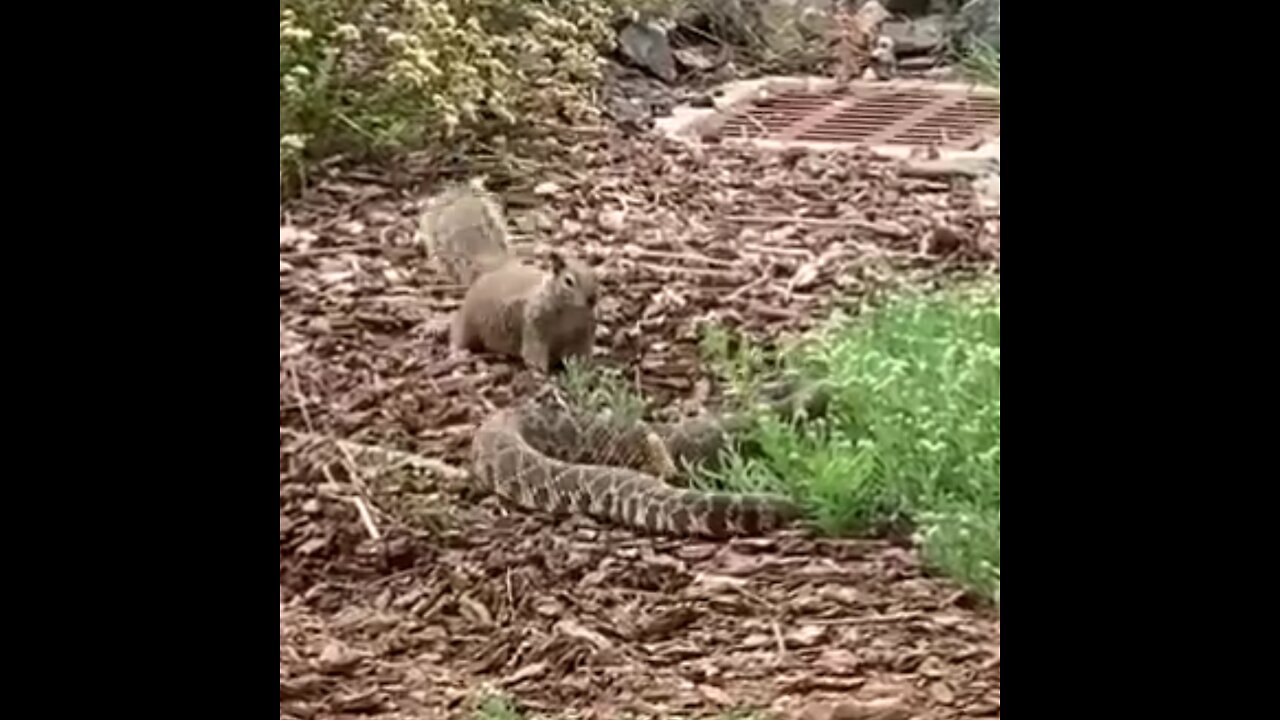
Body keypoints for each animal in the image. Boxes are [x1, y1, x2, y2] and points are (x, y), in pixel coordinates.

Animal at [418, 184, 598, 373]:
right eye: (568, 281)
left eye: (595, 277)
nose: (592, 299)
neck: (570, 311)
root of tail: (493, 271)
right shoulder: (534, 325)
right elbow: (534, 350)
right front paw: (540, 372)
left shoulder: (582, 333)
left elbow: (579, 352)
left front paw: (582, 368)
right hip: (469, 320)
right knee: (458, 333)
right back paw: (456, 351)